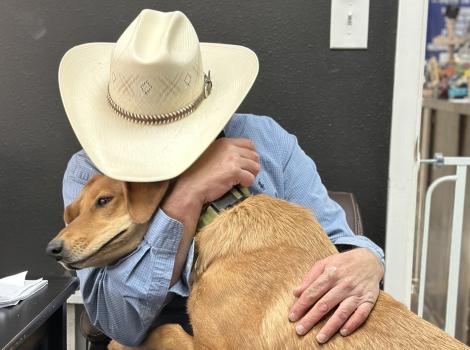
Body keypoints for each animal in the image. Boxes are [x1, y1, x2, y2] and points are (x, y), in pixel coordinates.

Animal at [46, 176, 466, 348]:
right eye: (75, 209)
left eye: (104, 201)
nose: (52, 249)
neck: (220, 212)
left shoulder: (212, 348)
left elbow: (162, 331)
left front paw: (122, 345)